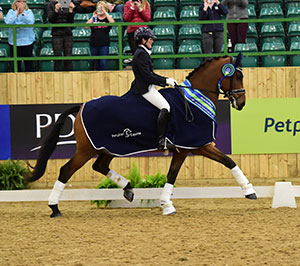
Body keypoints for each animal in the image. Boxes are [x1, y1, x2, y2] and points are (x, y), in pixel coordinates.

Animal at [25, 53, 256, 216]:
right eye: (237, 76)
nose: (242, 103)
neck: (194, 99)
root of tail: (82, 106)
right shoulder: (199, 145)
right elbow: (229, 162)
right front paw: (249, 191)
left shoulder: (182, 150)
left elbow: (171, 175)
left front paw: (166, 204)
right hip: (86, 149)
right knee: (66, 170)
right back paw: (54, 208)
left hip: (110, 147)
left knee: (99, 166)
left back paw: (128, 189)